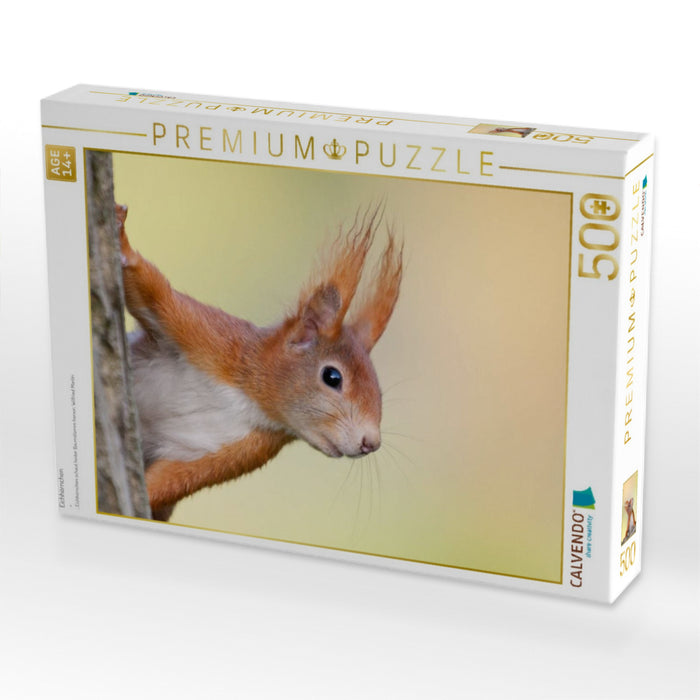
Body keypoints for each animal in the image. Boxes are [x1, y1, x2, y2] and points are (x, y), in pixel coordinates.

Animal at [115, 204, 403, 521]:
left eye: (378, 390)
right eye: (332, 377)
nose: (371, 443)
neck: (249, 399)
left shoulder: (236, 451)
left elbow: (168, 482)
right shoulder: (209, 337)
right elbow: (154, 294)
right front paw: (121, 238)